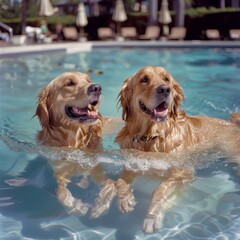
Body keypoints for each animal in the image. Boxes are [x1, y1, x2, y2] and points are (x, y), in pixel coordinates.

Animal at [115, 65, 239, 232]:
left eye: (166, 79)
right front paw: (125, 198)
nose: (164, 89)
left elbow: (159, 190)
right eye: (144, 79)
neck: (152, 136)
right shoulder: (130, 162)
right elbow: (119, 180)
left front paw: (152, 216)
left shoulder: (185, 173)